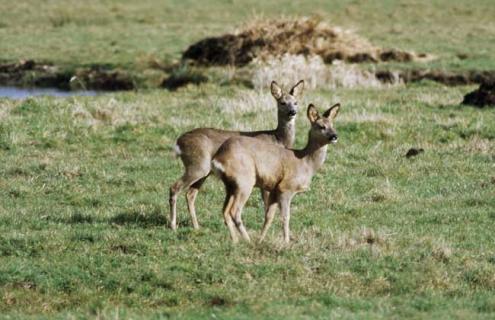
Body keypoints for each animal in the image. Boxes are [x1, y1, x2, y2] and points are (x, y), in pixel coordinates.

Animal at [169, 80, 304, 230]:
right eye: (282, 102)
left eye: (296, 102)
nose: (292, 112)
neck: (277, 139)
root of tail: (179, 141)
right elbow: (266, 203)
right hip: (198, 165)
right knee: (174, 188)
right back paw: (173, 226)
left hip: (203, 171)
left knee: (190, 194)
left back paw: (196, 226)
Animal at [213, 104, 340, 244]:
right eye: (321, 126)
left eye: (333, 125)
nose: (334, 136)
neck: (305, 162)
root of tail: (218, 158)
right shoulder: (286, 188)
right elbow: (285, 217)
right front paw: (286, 242)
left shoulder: (274, 189)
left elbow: (269, 216)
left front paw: (261, 240)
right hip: (244, 181)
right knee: (235, 211)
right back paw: (247, 240)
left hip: (230, 186)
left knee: (225, 211)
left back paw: (236, 241)